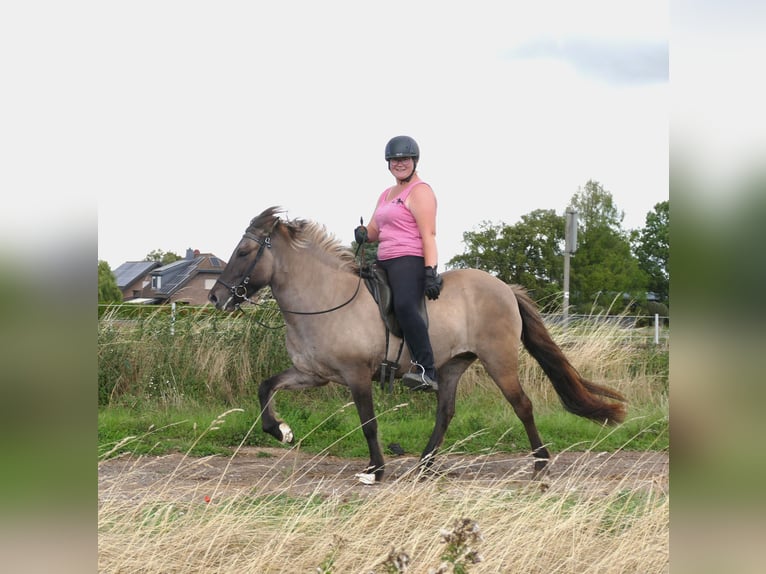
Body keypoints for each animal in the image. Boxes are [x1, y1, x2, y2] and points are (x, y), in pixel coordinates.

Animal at [208, 209, 624, 484]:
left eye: (243, 252)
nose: (216, 297)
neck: (324, 298)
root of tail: (505, 288)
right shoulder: (312, 374)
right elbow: (266, 386)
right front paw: (281, 431)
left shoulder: (357, 375)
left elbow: (369, 423)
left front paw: (375, 470)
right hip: (453, 365)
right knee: (446, 412)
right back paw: (424, 465)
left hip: (499, 360)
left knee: (522, 405)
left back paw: (540, 463)